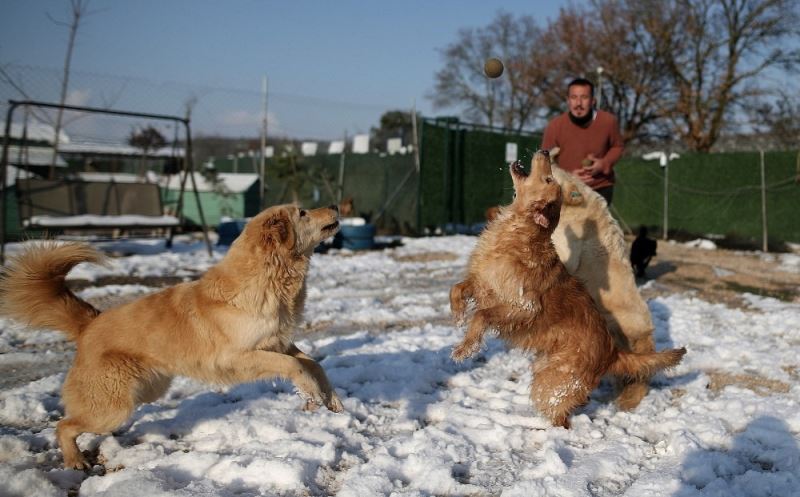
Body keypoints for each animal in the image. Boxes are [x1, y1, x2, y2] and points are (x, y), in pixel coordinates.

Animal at [0, 202, 344, 468]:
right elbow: (295, 366)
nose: (336, 206)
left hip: (148, 390)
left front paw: (331, 400)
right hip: (113, 408)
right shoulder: (239, 356)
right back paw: (74, 460)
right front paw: (310, 394)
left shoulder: (279, 343)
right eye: (302, 212)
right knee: (64, 425)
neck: (268, 277)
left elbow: (314, 363)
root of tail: (90, 323)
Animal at [446, 151, 684, 426]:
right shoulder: (483, 283)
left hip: (554, 383)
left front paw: (465, 348)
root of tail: (612, 352)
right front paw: (457, 314)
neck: (517, 233)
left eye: (549, 179)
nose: (544, 152)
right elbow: (457, 288)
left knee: (562, 415)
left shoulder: (524, 307)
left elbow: (481, 316)